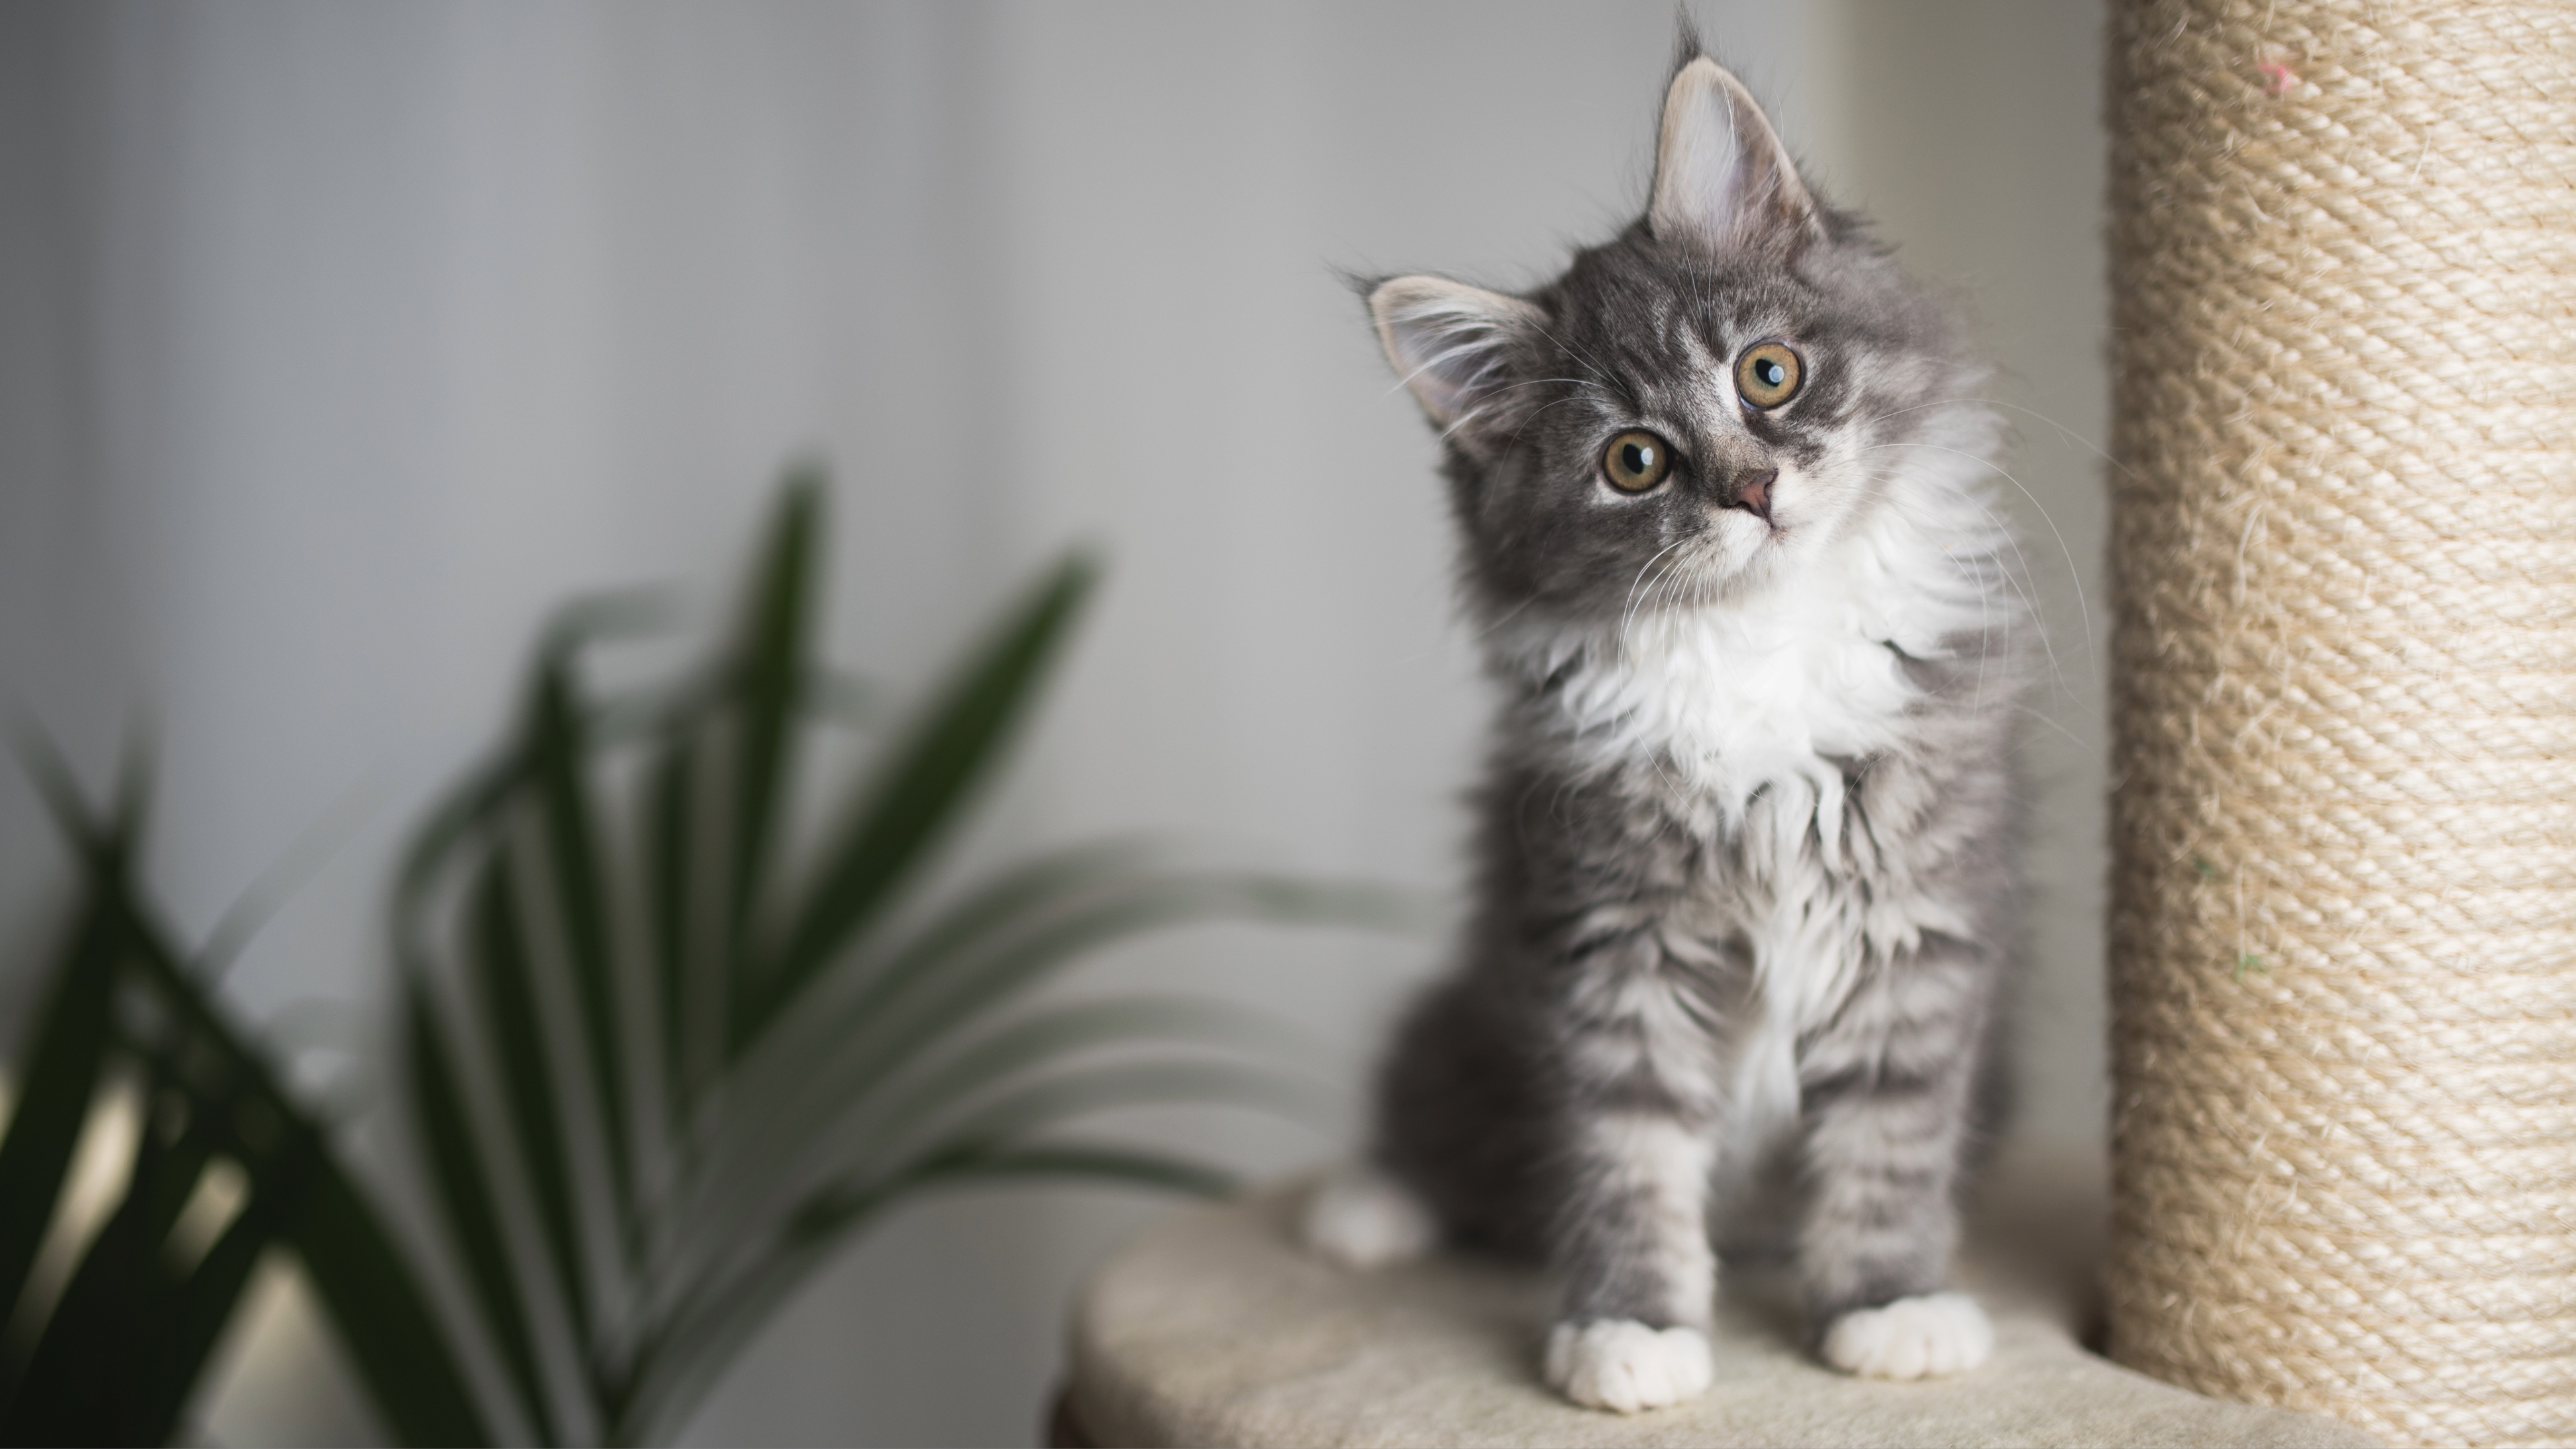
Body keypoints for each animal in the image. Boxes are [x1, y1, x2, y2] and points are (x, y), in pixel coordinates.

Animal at [1308, 48, 2030, 1420]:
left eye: (1768, 374)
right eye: (1634, 462)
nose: (1752, 491)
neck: (1755, 649)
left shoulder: (1913, 927)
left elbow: (1891, 1137)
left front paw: (1888, 1303)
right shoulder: (1606, 941)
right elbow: (1623, 1151)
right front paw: (1628, 1328)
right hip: (1463, 1021)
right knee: (1437, 1133)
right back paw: (1363, 1209)